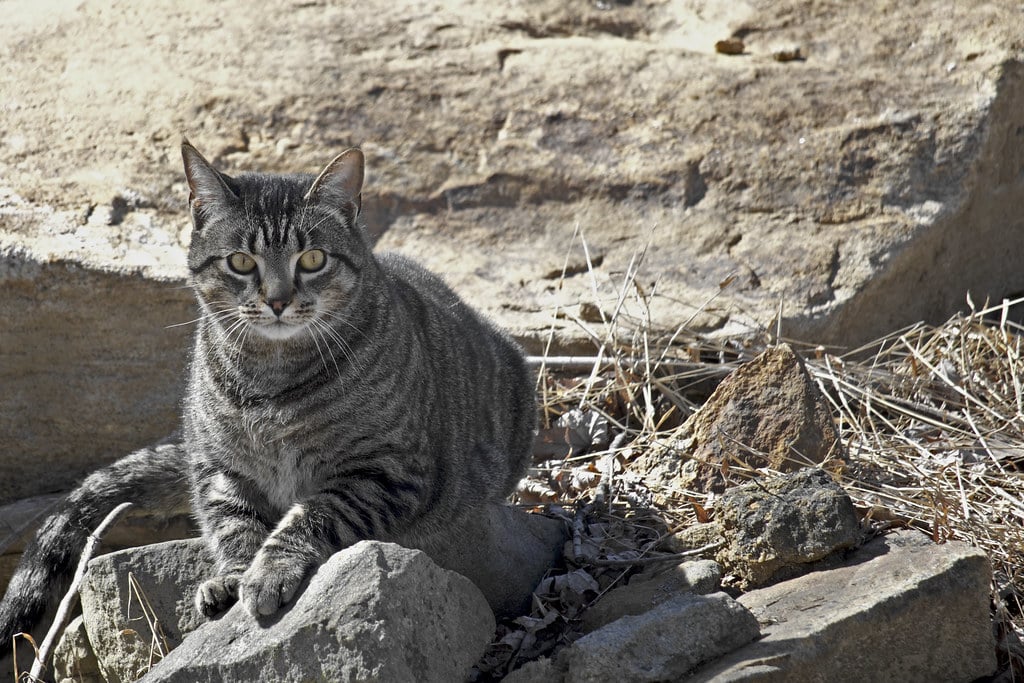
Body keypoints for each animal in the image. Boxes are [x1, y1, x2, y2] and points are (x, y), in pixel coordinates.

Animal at [0, 139, 540, 647]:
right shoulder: (219, 467)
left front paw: (269, 571)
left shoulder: (387, 470)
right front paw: (235, 576)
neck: (270, 383)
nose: (278, 300)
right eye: (241, 261)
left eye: (313, 258)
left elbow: (315, 513)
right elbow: (234, 523)